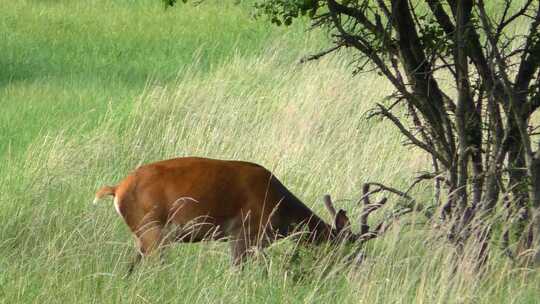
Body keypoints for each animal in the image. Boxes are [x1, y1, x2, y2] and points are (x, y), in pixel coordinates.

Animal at [94, 157, 376, 274]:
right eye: (351, 252)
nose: (359, 272)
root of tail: (117, 189)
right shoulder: (246, 234)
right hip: (152, 233)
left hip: (145, 237)